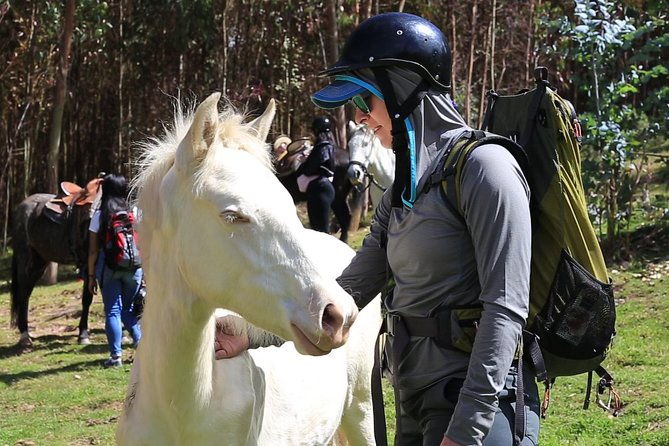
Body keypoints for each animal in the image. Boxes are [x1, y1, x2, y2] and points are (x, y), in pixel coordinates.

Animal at [10, 179, 102, 348]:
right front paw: (83, 335)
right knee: (23, 293)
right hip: (25, 259)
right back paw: (25, 337)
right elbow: (87, 299)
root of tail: (21, 207)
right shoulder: (89, 263)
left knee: (27, 292)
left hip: (40, 262)